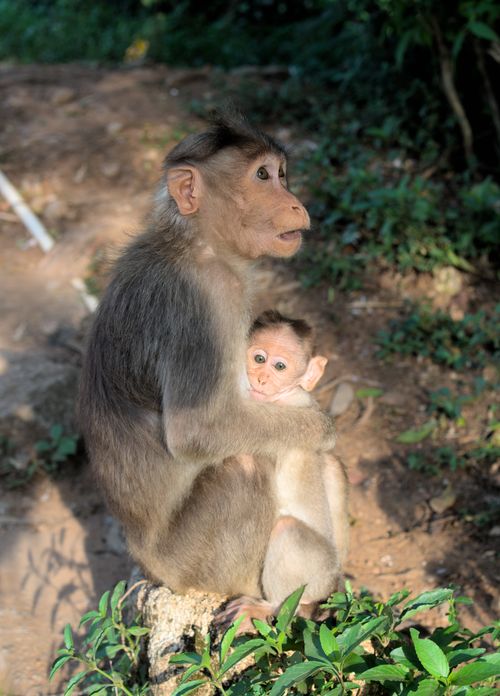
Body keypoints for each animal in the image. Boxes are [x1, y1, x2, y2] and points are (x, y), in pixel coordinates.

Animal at [78, 113, 336, 624]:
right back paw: (267, 605)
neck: (194, 240)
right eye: (262, 175)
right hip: (192, 562)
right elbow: (198, 430)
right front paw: (318, 428)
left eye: (281, 174)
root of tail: (147, 562)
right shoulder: (205, 302)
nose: (295, 202)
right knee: (243, 463)